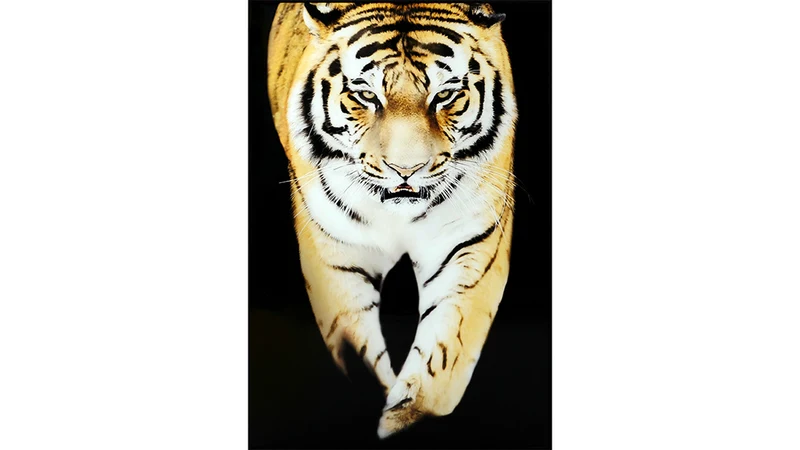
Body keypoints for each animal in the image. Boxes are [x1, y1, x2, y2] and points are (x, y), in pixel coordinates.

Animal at [266, 2, 517, 438]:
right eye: (366, 95)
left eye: (444, 94)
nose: (406, 169)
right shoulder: (336, 257)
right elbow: (355, 346)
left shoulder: (470, 249)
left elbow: (443, 358)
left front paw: (402, 416)